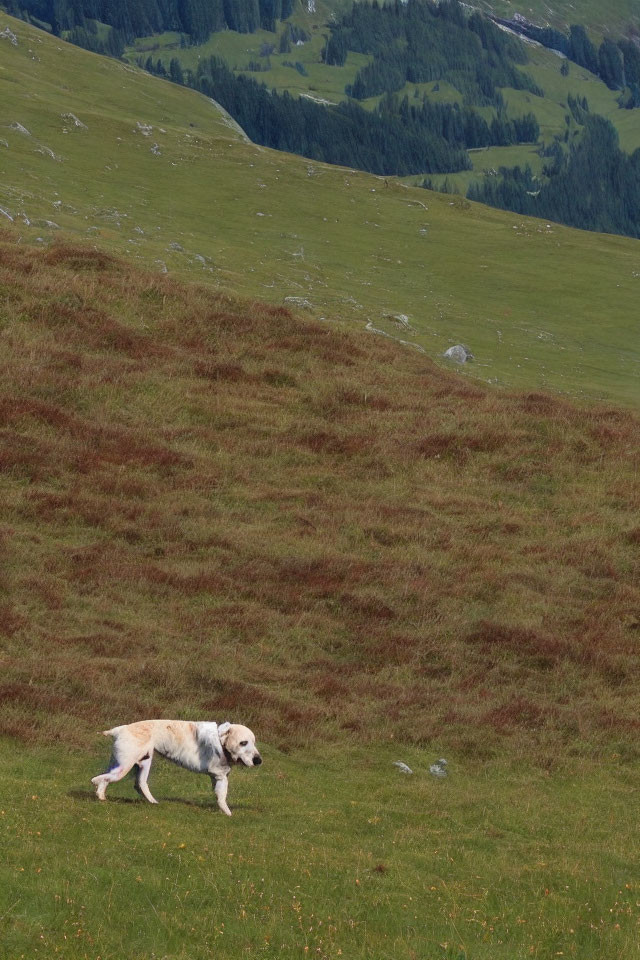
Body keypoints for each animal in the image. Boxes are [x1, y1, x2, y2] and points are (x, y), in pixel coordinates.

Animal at [89, 720, 260, 816]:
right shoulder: (220, 775)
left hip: (140, 763)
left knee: (137, 784)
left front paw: (226, 813)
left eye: (254, 742)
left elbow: (221, 798)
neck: (220, 741)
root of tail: (119, 729)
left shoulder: (220, 778)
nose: (258, 760)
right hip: (125, 765)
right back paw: (97, 787)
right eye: (243, 743)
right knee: (101, 778)